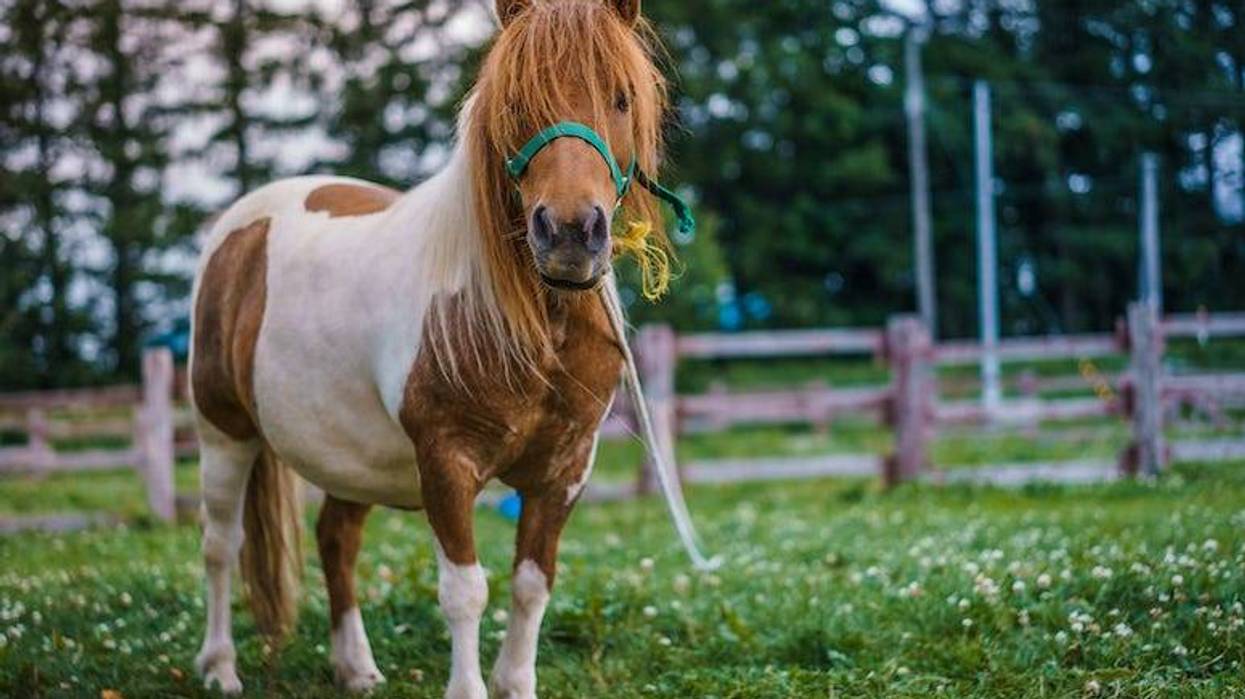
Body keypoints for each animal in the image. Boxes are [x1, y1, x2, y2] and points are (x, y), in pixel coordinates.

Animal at [188, 0, 677, 696]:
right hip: (223, 431)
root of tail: (238, 229)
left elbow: (532, 585)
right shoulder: (447, 460)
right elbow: (466, 591)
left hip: (350, 452)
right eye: (516, 102)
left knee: (336, 538)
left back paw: (356, 668)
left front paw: (515, 682)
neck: (532, 322)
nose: (569, 235)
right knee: (220, 544)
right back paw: (221, 668)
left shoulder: (563, 470)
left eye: (621, 97)